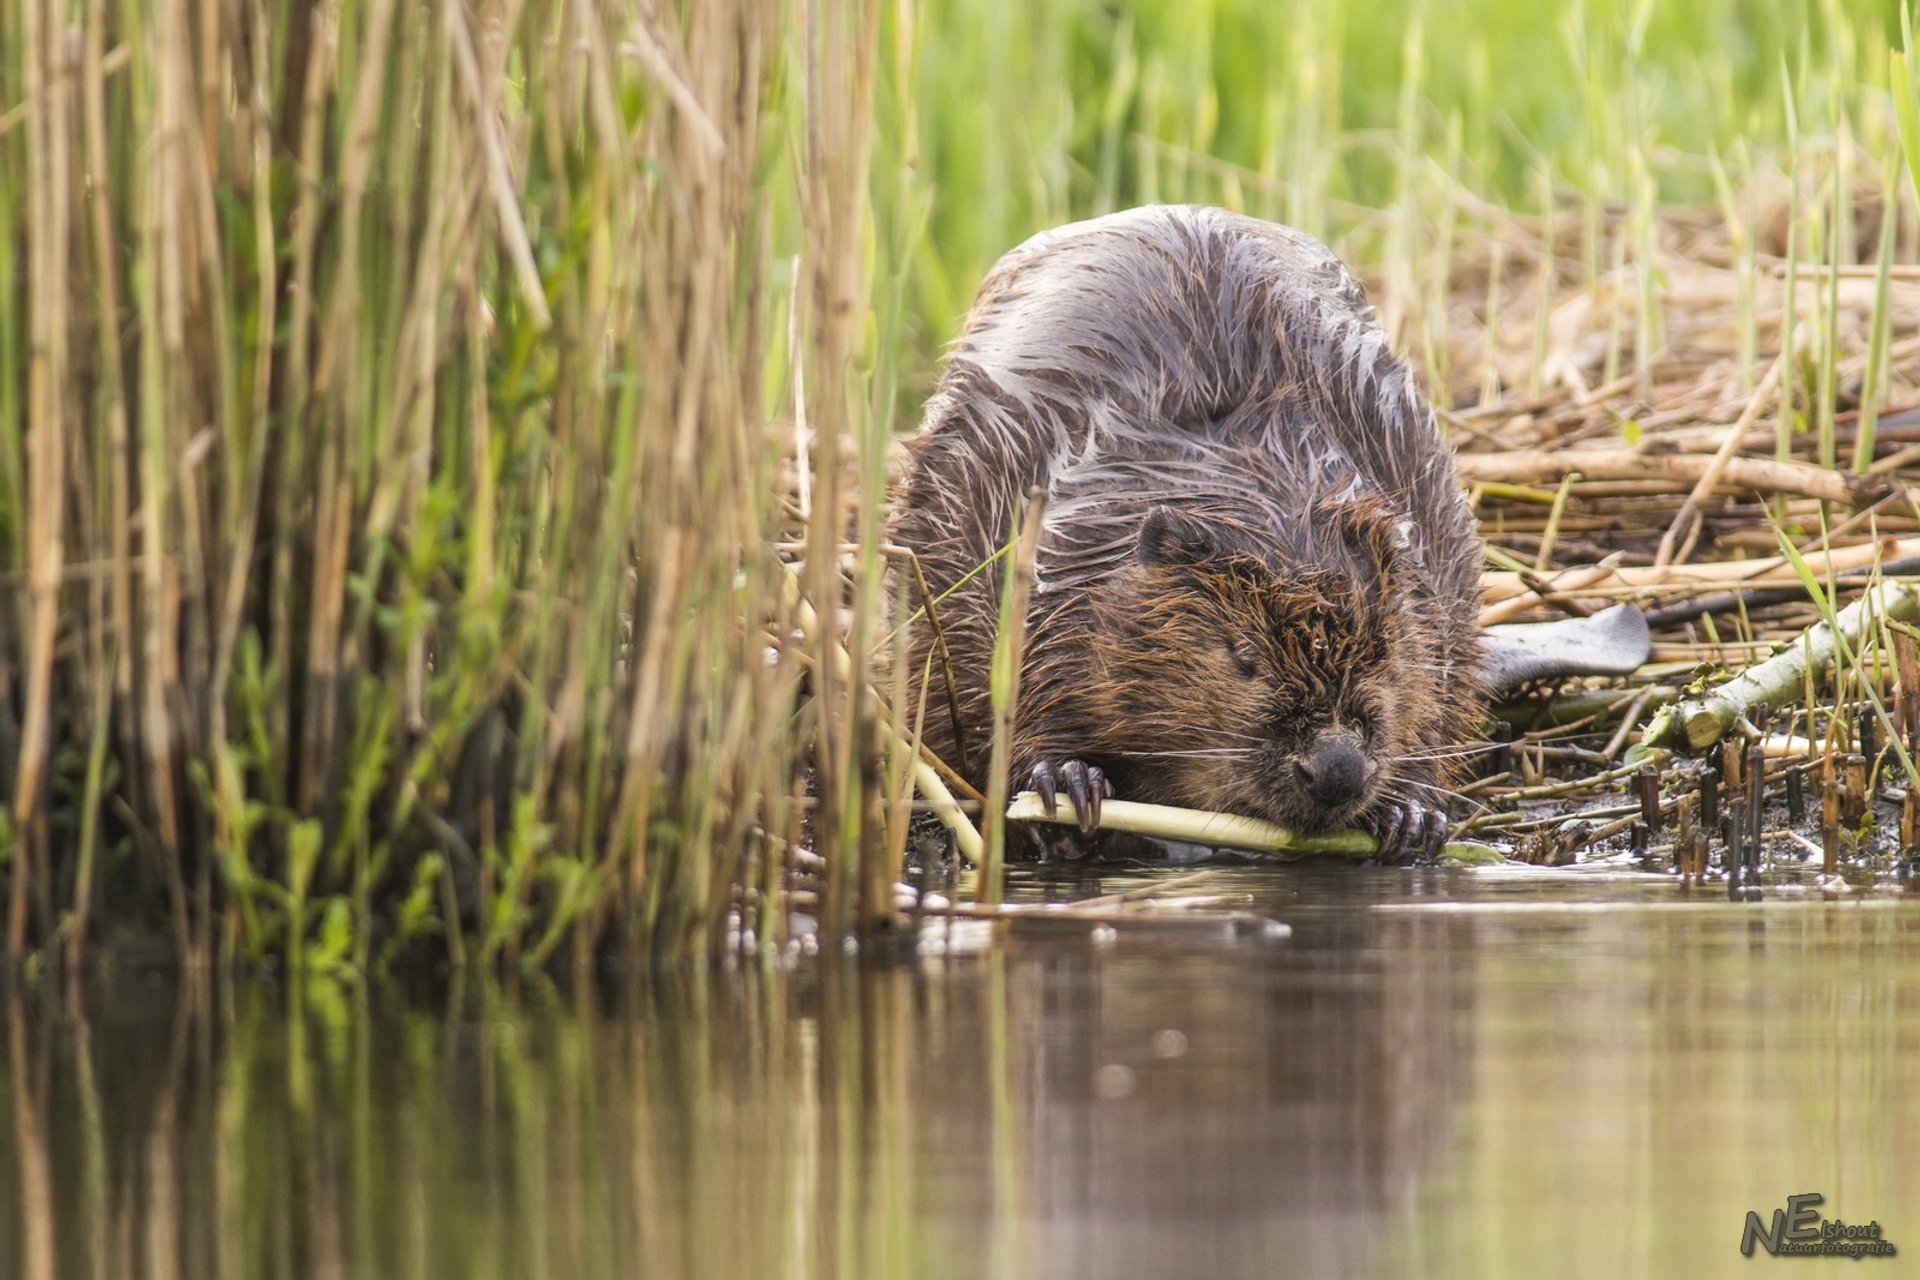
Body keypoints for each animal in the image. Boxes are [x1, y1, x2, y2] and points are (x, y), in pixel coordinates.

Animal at [887, 205, 1482, 859]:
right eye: (1243, 655)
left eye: (1383, 654)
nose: (1335, 770)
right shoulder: (1042, 549)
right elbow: (1018, 683)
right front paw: (1068, 782)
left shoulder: (1428, 560)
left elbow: (1435, 690)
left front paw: (1412, 813)